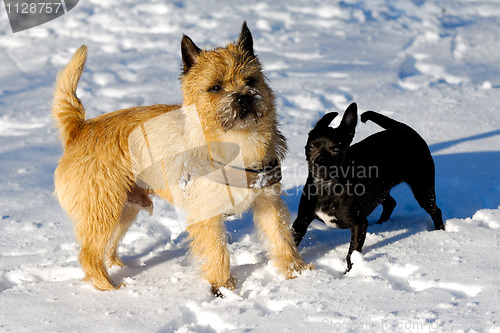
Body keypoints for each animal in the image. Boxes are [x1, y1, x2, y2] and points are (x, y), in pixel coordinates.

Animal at [50, 22, 308, 294]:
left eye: (250, 80)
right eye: (216, 87)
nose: (244, 97)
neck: (238, 143)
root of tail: (79, 129)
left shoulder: (268, 202)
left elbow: (281, 237)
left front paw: (297, 272)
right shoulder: (206, 215)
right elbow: (218, 252)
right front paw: (223, 287)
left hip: (123, 210)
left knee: (105, 249)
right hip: (102, 209)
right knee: (88, 255)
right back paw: (111, 288)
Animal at [292, 102, 446, 272]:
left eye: (336, 149)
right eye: (311, 146)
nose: (318, 163)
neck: (327, 186)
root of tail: (406, 129)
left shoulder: (358, 224)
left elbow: (351, 253)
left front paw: (349, 273)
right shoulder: (301, 220)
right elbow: (290, 242)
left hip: (422, 187)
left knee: (435, 211)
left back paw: (440, 232)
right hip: (381, 188)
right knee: (390, 203)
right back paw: (380, 225)